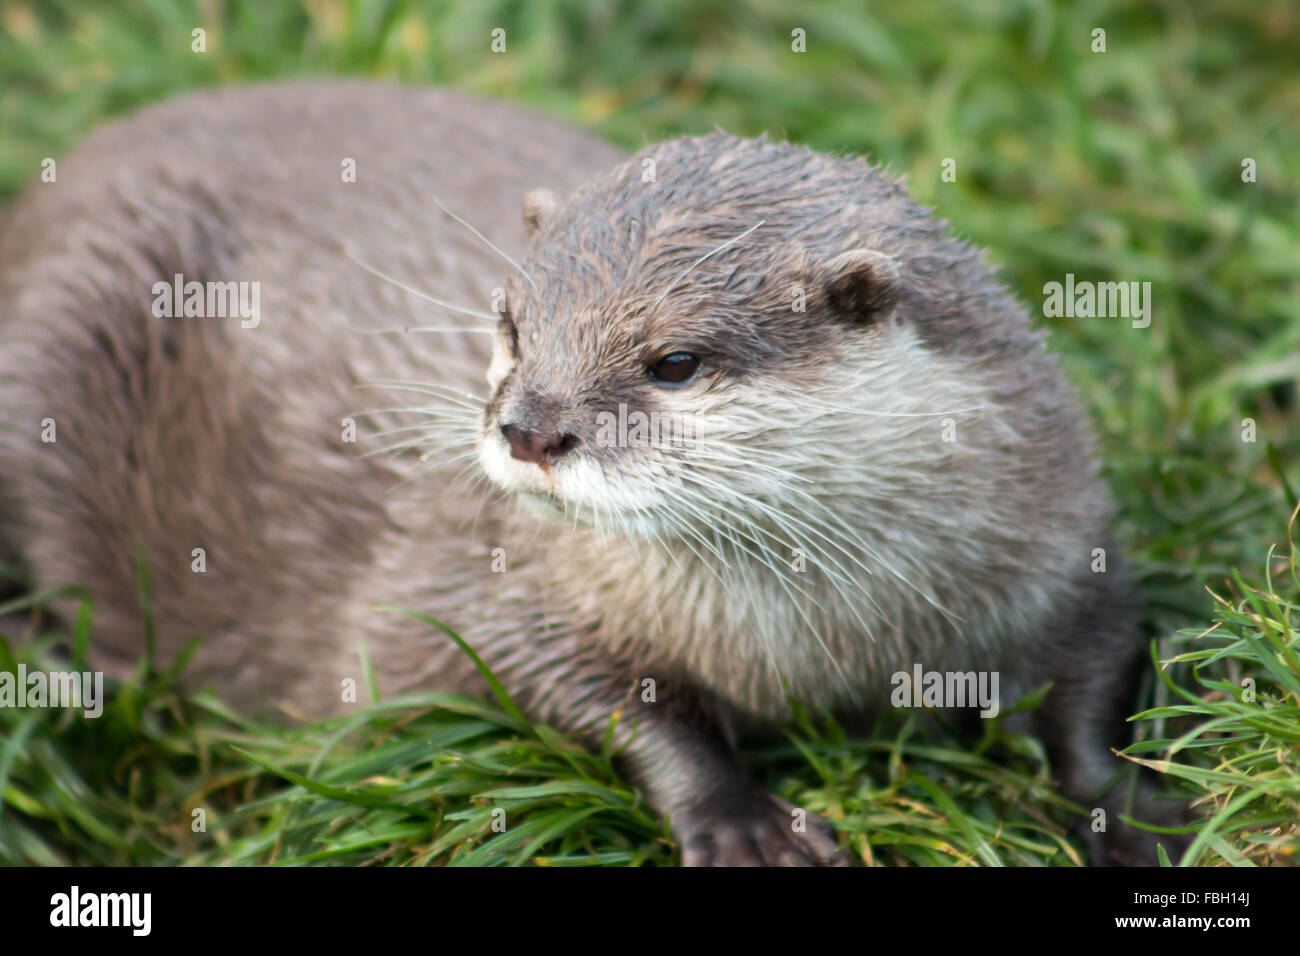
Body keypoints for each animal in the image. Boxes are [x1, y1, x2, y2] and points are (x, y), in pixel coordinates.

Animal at [0, 80, 1181, 865]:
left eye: (674, 362)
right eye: (512, 323)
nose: (528, 429)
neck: (823, 643)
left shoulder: (1067, 542)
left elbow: (1095, 675)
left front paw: (1127, 808)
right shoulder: (498, 585)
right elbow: (579, 689)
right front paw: (741, 820)